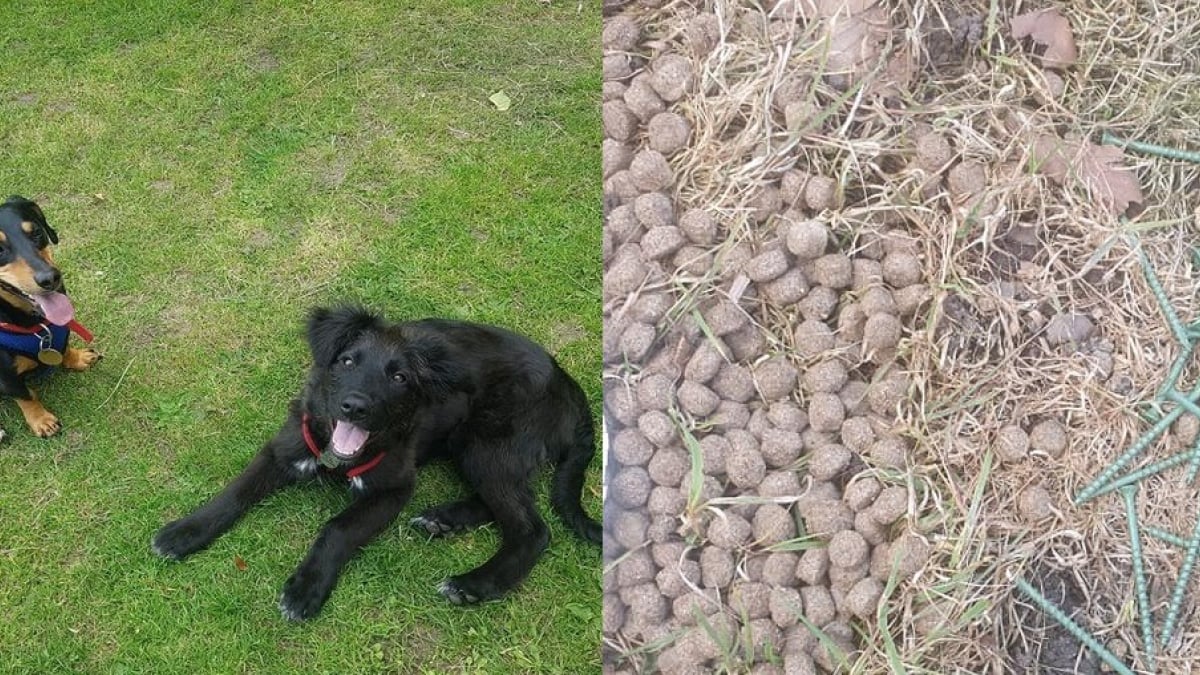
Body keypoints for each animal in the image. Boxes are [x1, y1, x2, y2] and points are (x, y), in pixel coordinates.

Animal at [0, 194, 98, 437]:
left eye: (36, 232)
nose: (50, 278)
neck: (37, 325)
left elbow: (65, 349)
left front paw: (78, 358)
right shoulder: (6, 376)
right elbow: (25, 396)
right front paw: (42, 420)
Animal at [152, 307, 600, 619]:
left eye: (399, 377)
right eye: (347, 360)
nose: (355, 406)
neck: (336, 456)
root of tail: (566, 381)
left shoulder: (393, 489)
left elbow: (338, 528)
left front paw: (306, 588)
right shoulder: (285, 449)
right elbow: (235, 492)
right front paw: (184, 532)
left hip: (485, 444)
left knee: (532, 529)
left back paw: (473, 583)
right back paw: (443, 520)